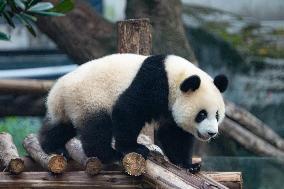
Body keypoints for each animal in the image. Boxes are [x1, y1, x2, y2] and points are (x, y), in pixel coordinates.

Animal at [38, 53, 229, 173]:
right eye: (202, 114)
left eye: (217, 115)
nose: (212, 133)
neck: (175, 77)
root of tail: (57, 90)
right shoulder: (152, 82)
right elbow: (128, 111)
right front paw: (134, 148)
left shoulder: (170, 104)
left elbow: (175, 133)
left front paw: (188, 165)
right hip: (90, 97)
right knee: (97, 127)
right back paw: (108, 154)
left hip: (71, 106)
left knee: (62, 126)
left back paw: (52, 147)